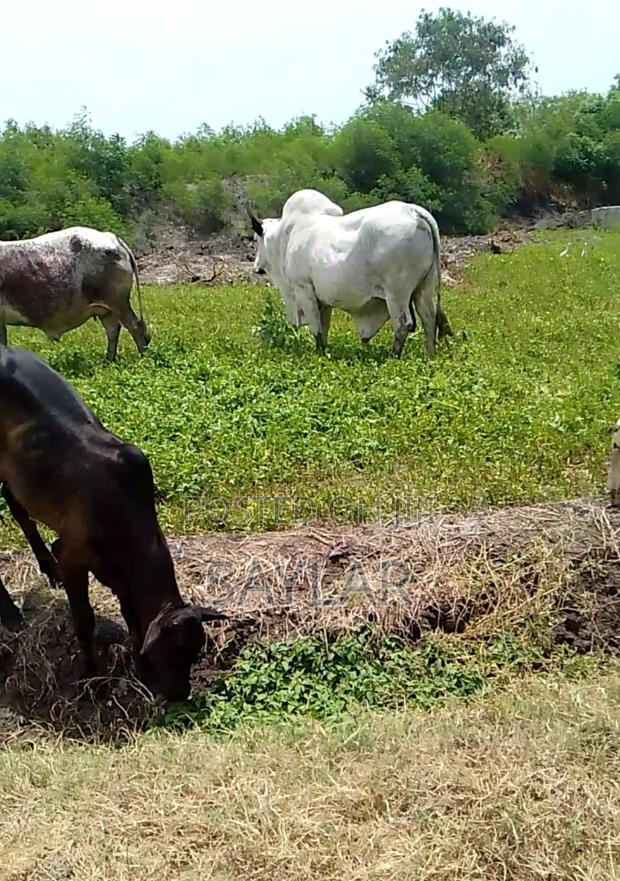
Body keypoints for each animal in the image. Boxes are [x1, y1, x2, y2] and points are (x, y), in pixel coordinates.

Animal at [0, 227, 150, 362]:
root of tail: (110, 236)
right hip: (106, 308)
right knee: (113, 329)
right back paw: (108, 361)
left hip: (118, 302)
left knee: (135, 326)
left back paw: (143, 358)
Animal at [0, 344, 225, 701]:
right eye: (174, 650)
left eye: (195, 650)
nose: (180, 694)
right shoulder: (71, 553)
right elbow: (84, 619)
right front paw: (91, 676)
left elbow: (129, 612)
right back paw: (11, 614)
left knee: (14, 501)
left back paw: (46, 569)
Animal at [250, 189, 453, 358]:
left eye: (256, 238)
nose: (256, 265)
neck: (286, 236)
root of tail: (412, 210)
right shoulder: (323, 299)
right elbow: (324, 327)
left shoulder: (303, 289)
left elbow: (317, 329)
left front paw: (319, 356)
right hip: (424, 287)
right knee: (429, 318)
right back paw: (429, 356)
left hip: (397, 293)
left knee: (404, 324)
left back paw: (393, 357)